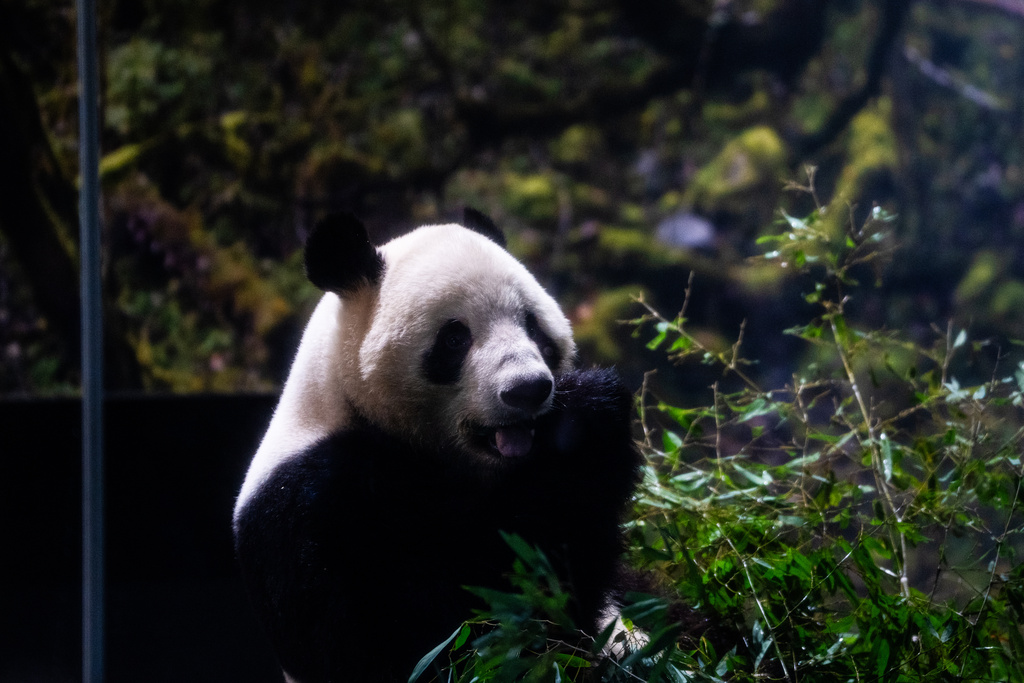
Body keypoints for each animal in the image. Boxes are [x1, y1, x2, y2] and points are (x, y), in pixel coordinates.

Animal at [233, 209, 642, 683]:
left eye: (532, 324)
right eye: (454, 337)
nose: (527, 389)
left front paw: (585, 418)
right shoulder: (314, 507)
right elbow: (428, 636)